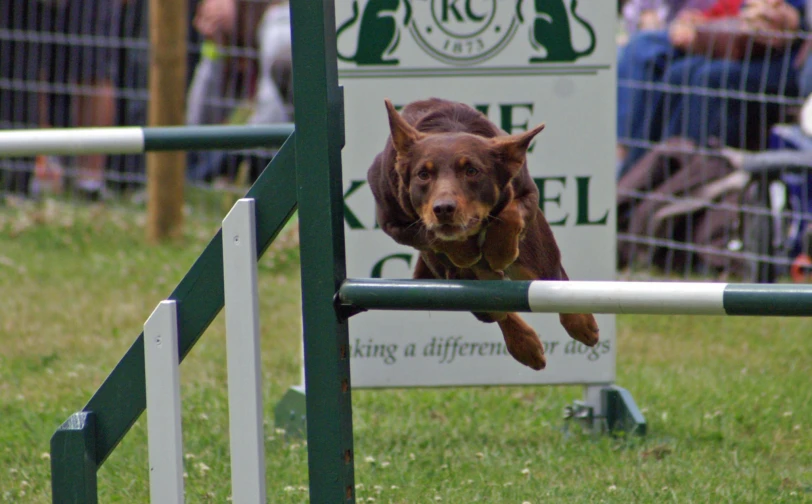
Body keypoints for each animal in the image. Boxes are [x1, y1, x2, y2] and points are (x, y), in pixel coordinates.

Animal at [366, 97, 596, 370]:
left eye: (472, 171)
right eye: (423, 174)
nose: (443, 209)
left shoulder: (527, 192)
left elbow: (510, 213)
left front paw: (499, 251)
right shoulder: (394, 223)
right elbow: (435, 236)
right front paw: (466, 252)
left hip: (538, 258)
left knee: (554, 280)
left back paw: (582, 323)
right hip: (449, 276)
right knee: (495, 306)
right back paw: (525, 344)